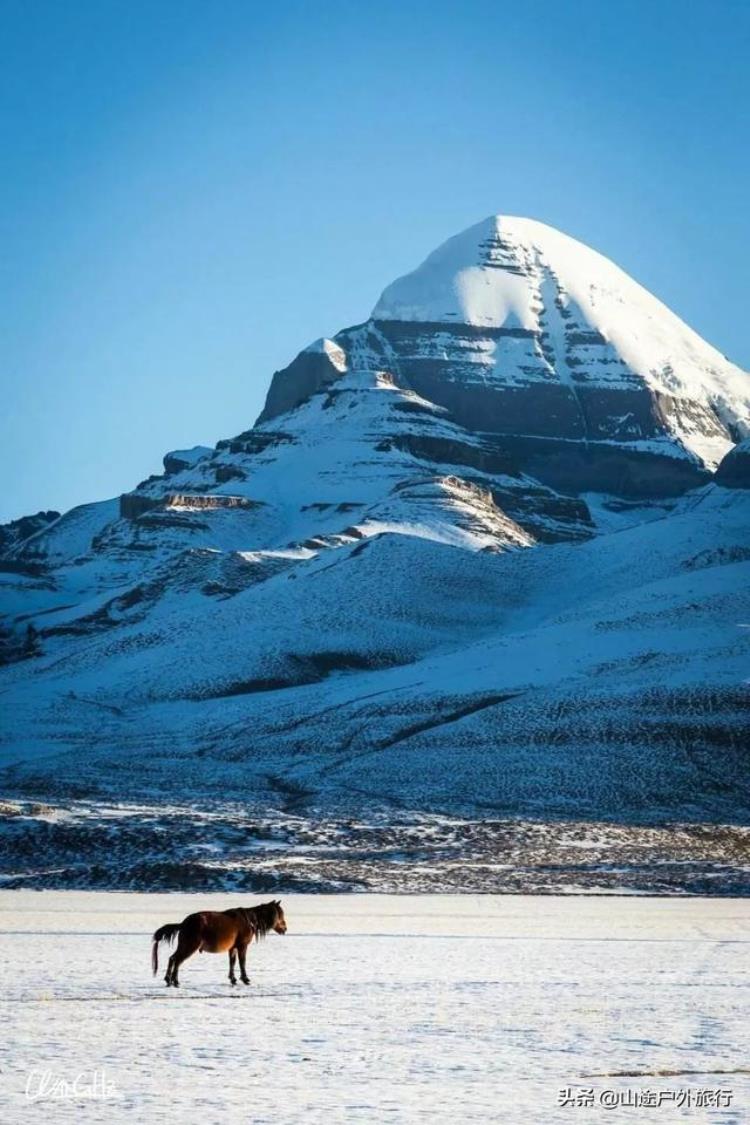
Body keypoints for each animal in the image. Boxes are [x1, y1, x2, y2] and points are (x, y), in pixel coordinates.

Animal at [150, 900, 285, 990]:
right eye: (280, 914)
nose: (285, 929)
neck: (249, 920)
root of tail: (183, 923)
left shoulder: (232, 947)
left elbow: (232, 962)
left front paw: (233, 979)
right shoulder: (242, 946)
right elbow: (242, 962)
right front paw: (245, 979)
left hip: (184, 945)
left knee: (172, 958)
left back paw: (168, 980)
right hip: (190, 946)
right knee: (177, 960)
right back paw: (175, 981)